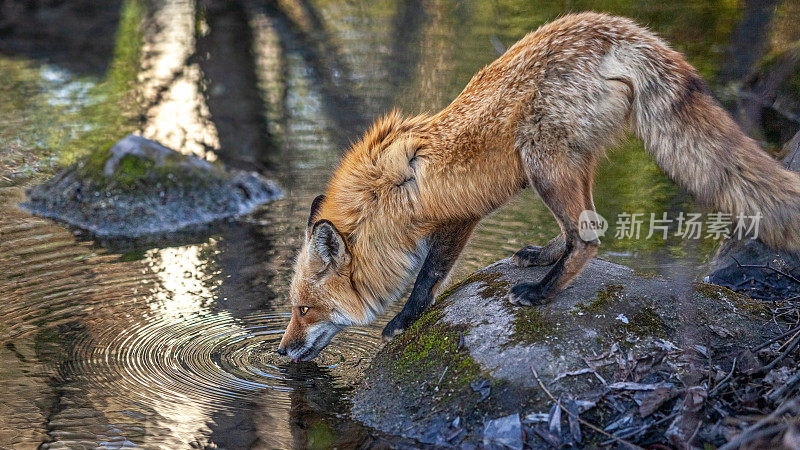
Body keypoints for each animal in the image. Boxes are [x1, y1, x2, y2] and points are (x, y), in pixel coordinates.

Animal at [276, 11, 800, 362]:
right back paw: (543, 258)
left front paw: (404, 319)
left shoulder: (457, 219)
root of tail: (609, 27)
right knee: (582, 226)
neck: (383, 199)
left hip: (543, 164)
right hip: (566, 163)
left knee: (587, 236)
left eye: (303, 309)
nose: (280, 352)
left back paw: (541, 292)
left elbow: (427, 277)